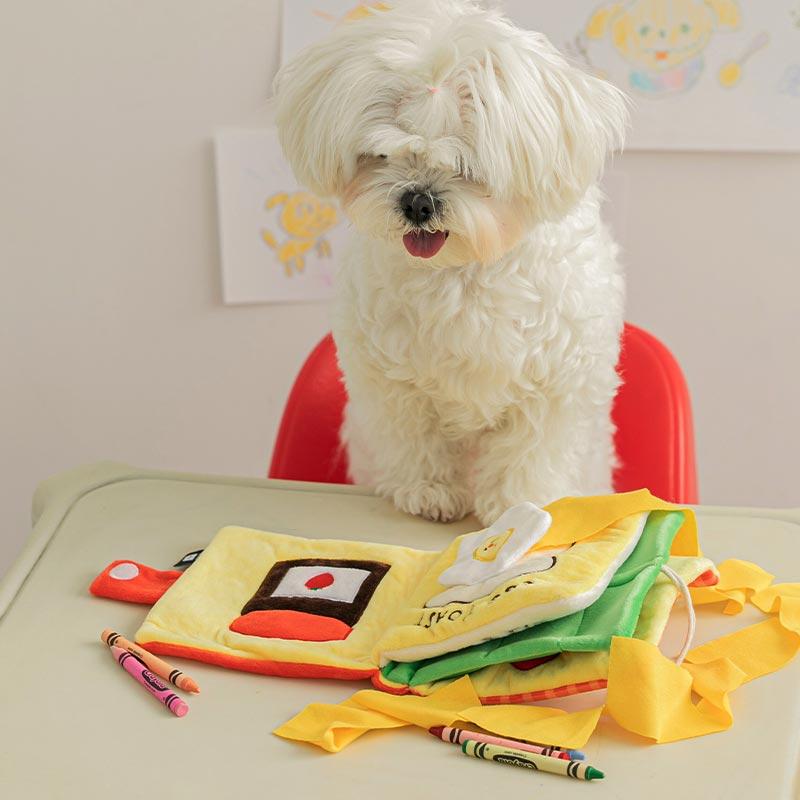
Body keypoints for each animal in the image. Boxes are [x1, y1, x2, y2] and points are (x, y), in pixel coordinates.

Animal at [276, 0, 632, 528]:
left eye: (467, 166)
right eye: (381, 155)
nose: (417, 202)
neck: (464, 270)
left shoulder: (554, 383)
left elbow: (531, 448)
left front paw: (516, 503)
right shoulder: (393, 381)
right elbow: (414, 436)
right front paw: (429, 492)